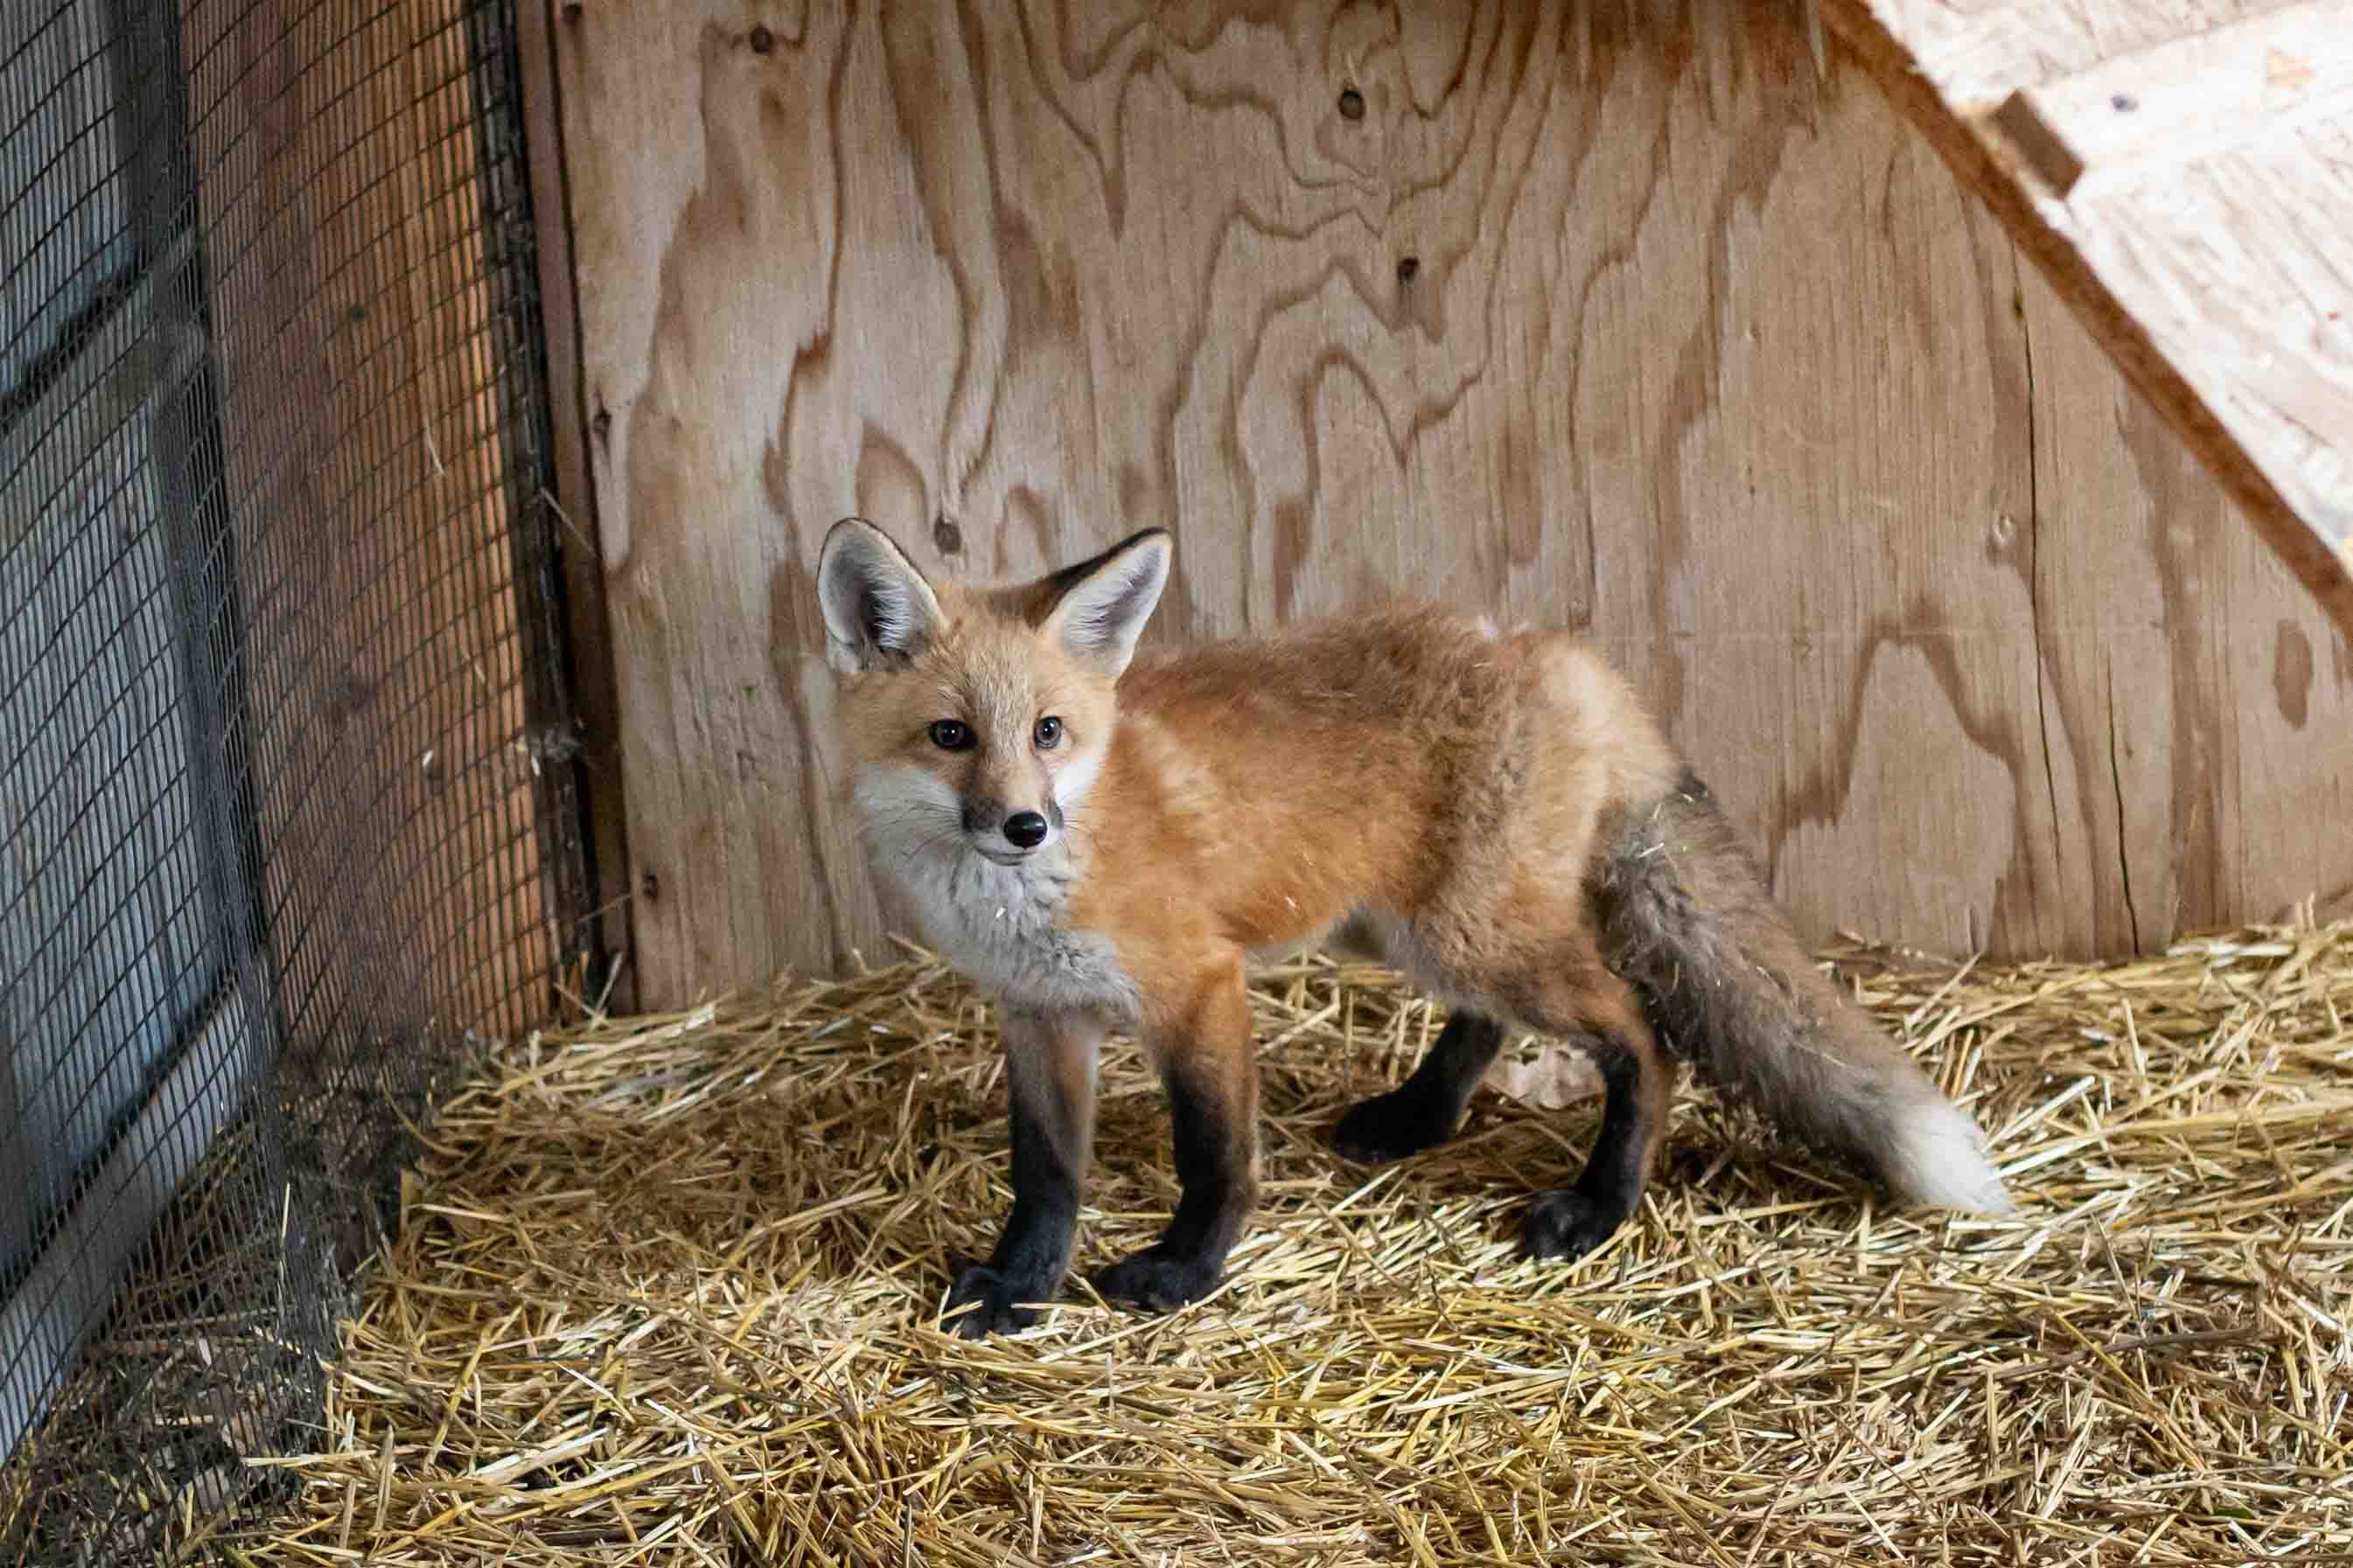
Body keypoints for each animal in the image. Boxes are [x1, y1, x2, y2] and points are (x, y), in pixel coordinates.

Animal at [814, 517, 2014, 1337]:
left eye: (1049, 731)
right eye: (952, 735)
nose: (1022, 823)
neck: (1026, 893)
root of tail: (1555, 652)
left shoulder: (1197, 984)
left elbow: (1214, 1153)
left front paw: (1185, 1273)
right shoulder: (1039, 1013)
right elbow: (1046, 1173)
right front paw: (1021, 1287)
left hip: (1468, 931)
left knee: (1641, 1032)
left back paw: (1598, 1205)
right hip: (1397, 926)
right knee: (1486, 1022)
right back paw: (1420, 1116)